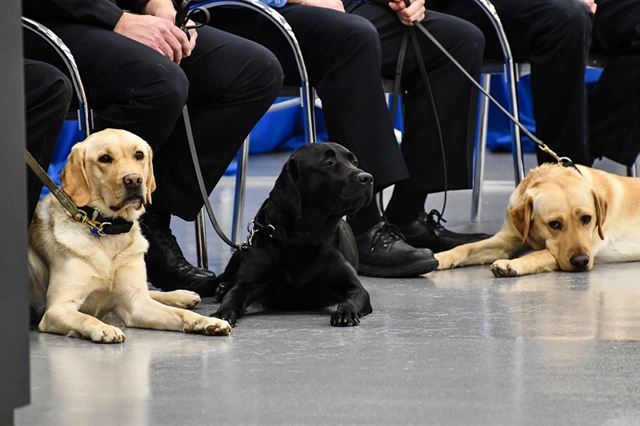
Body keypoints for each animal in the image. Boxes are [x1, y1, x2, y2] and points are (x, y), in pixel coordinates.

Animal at [29, 130, 232, 342]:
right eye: (104, 158)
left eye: (139, 155)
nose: (134, 179)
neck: (108, 228)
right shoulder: (57, 309)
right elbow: (86, 318)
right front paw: (105, 328)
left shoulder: (135, 304)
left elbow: (181, 314)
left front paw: (207, 321)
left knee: (150, 293)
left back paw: (182, 296)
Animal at [195, 142, 376, 326]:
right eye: (328, 162)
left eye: (354, 162)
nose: (367, 177)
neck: (301, 239)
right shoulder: (247, 283)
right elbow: (232, 297)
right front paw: (221, 314)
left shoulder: (355, 288)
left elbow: (352, 299)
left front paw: (346, 313)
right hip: (240, 254)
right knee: (219, 279)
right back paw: (218, 287)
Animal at [436, 163, 640, 276]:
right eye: (554, 224)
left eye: (586, 219)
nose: (581, 261)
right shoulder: (507, 240)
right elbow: (467, 247)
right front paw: (440, 257)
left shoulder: (588, 247)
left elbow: (537, 255)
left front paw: (511, 264)